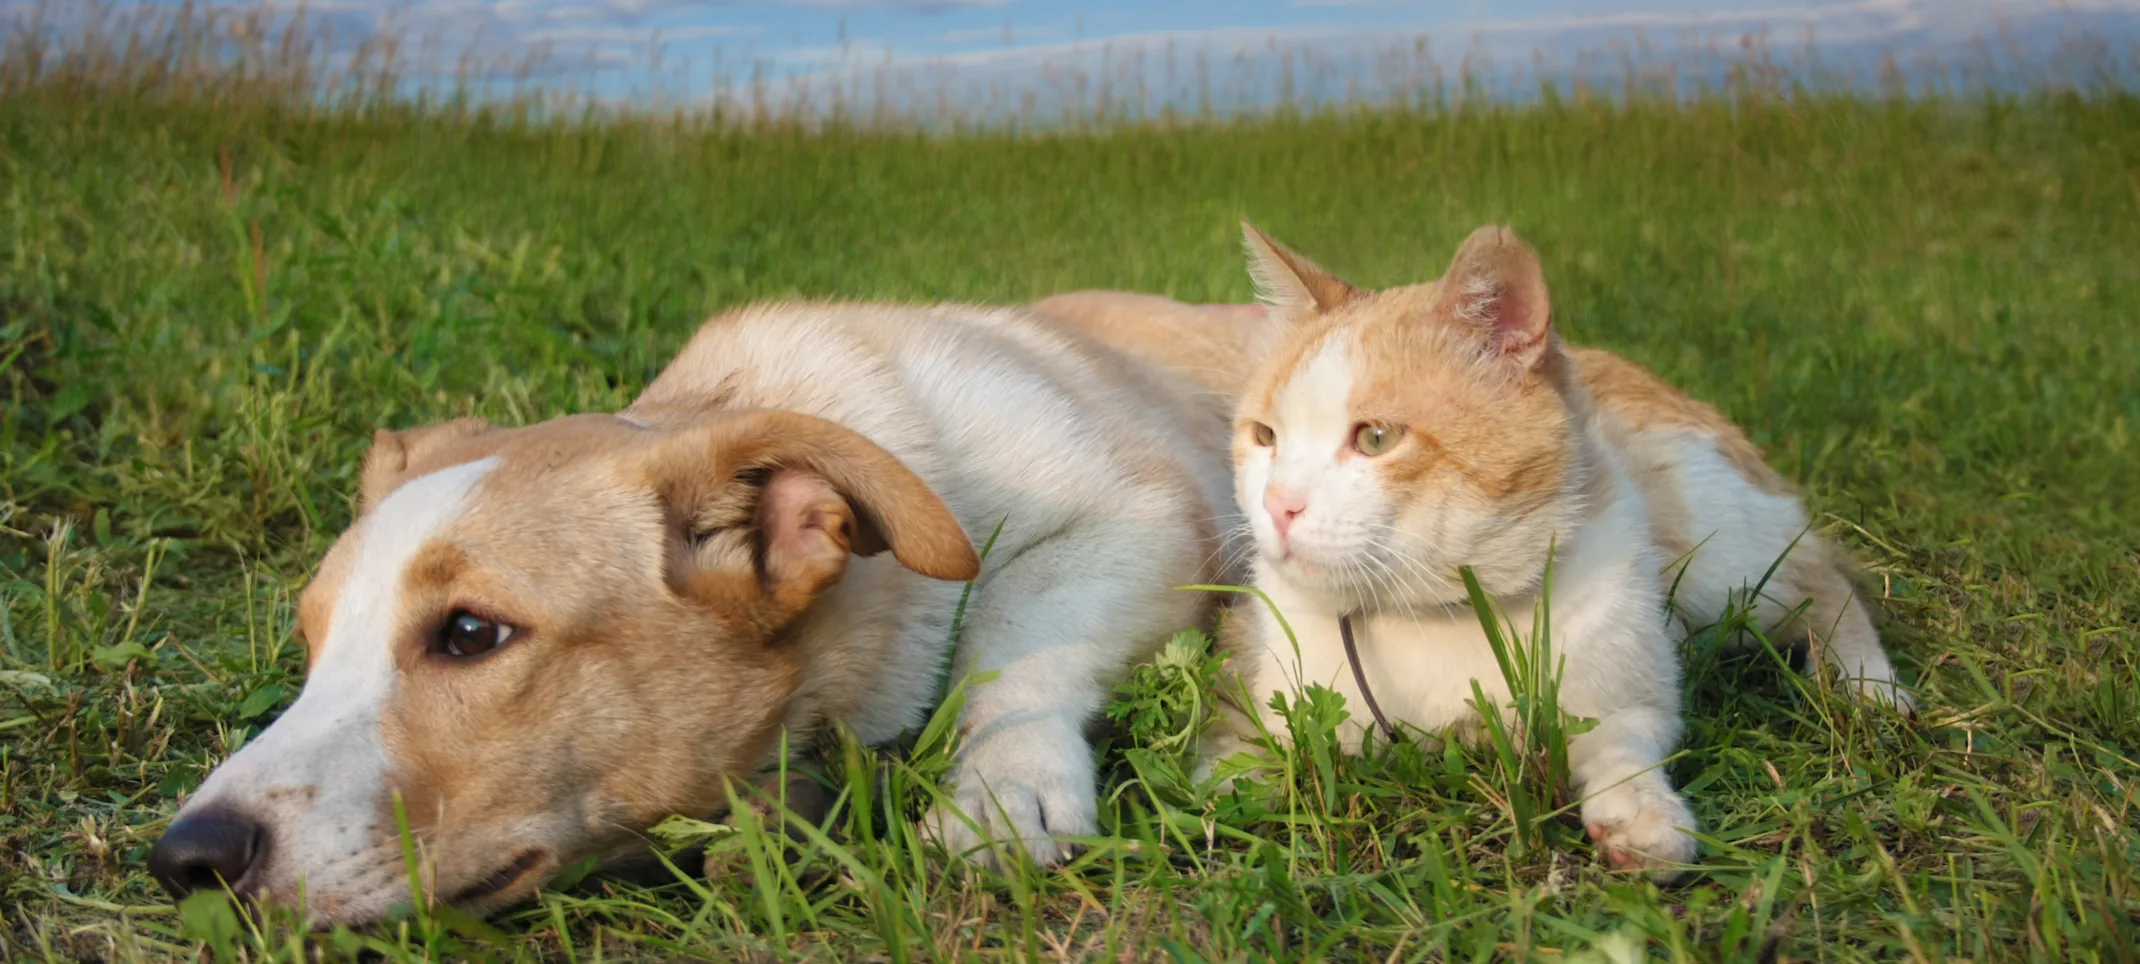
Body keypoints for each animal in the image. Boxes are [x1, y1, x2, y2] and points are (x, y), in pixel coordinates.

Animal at [150, 302, 1241, 925]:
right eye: (310, 642)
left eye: (469, 633)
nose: (185, 860)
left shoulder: (1149, 515)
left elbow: (1009, 628)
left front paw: (1001, 787)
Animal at [1172, 221, 1926, 878]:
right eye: (1265, 436)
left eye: (1376, 438)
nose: (1278, 503)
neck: (1434, 616)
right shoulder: (1252, 659)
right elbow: (1236, 755)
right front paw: (1235, 789)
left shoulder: (1632, 688)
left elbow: (1624, 741)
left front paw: (1640, 815)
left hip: (1725, 561)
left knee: (1825, 583)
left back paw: (1870, 688)